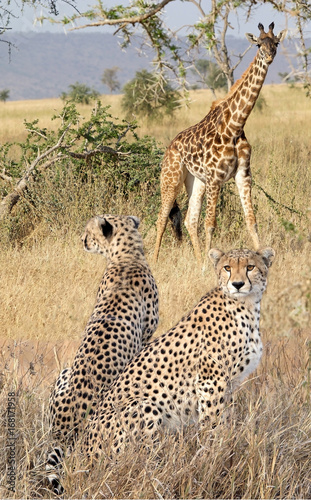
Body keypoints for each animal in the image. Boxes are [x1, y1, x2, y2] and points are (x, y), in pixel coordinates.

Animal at [47, 214, 160, 488]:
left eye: (88, 232)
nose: (81, 240)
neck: (127, 255)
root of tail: (63, 429)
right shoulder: (146, 336)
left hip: (64, 374)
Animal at [83, 246, 276, 458]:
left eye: (250, 267)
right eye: (227, 268)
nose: (238, 284)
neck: (246, 306)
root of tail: (84, 449)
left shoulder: (229, 383)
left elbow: (225, 417)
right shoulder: (211, 380)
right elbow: (212, 421)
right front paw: (212, 452)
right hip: (144, 405)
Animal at [154, 23, 288, 266]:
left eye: (276, 43)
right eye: (258, 44)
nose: (269, 56)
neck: (235, 126)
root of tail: (169, 146)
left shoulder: (243, 174)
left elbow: (251, 220)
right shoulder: (215, 178)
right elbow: (211, 224)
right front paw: (211, 265)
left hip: (195, 181)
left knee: (189, 220)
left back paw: (198, 261)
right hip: (171, 178)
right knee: (162, 217)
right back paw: (155, 260)